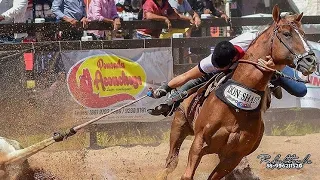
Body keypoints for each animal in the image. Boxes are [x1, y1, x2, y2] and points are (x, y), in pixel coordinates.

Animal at [156, 4, 316, 179]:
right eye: (286, 34)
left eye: (303, 34)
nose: (311, 60)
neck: (236, 107)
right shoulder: (199, 143)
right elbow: (186, 174)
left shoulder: (233, 157)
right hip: (179, 124)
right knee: (171, 161)